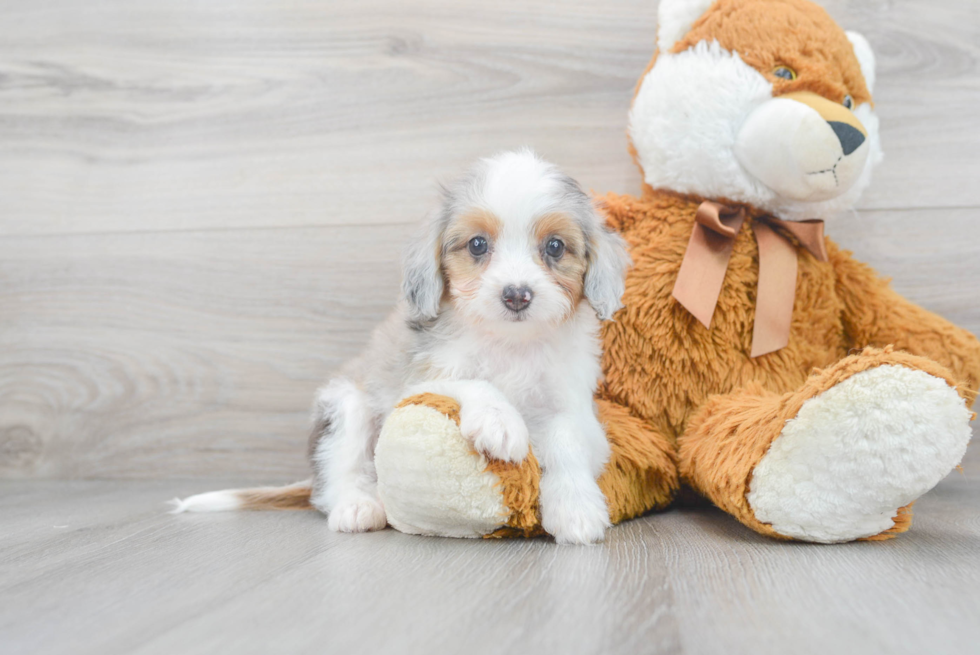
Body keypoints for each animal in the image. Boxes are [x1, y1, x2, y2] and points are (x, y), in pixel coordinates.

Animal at [174, 151, 636, 544]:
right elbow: (469, 383)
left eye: (555, 247)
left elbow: (566, 442)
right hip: (346, 404)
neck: (508, 343)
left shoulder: (575, 409)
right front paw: (499, 420)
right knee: (338, 476)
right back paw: (357, 506)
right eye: (478, 245)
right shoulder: (412, 385)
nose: (516, 295)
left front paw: (575, 508)